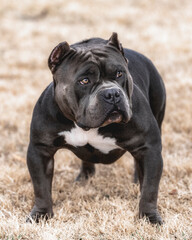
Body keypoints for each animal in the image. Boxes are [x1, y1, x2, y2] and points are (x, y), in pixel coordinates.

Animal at [26, 32, 166, 224]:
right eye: (84, 81)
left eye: (119, 73)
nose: (112, 93)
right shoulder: (40, 151)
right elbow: (41, 188)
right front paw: (40, 214)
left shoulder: (149, 148)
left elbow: (150, 189)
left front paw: (149, 217)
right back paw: (85, 177)